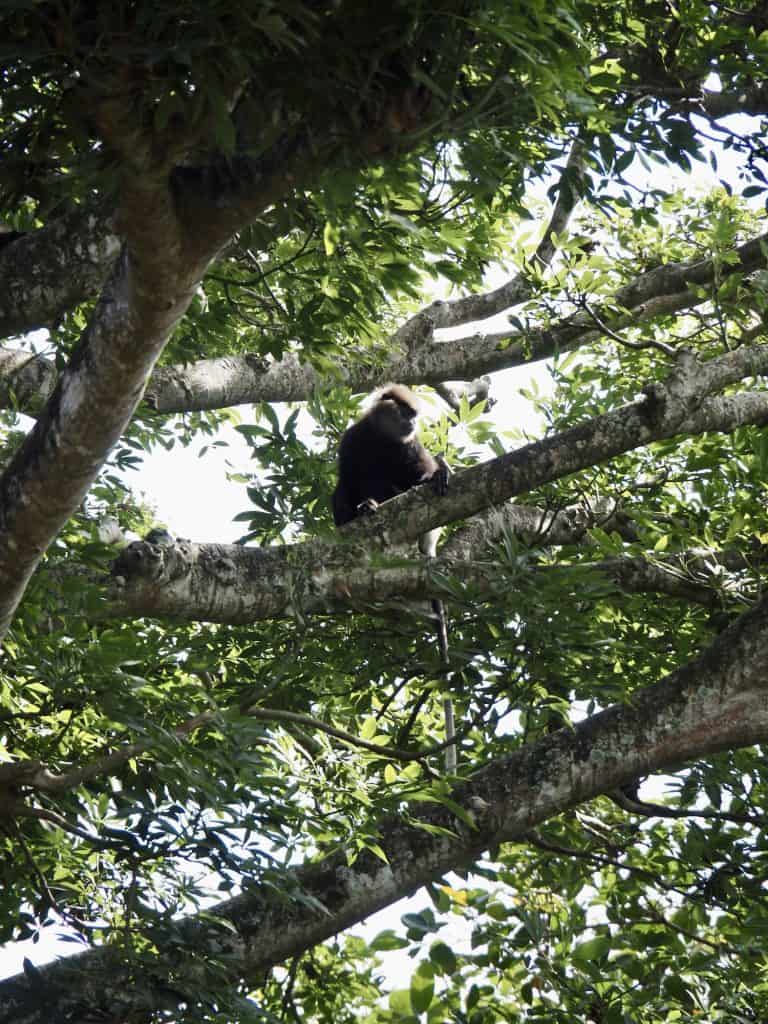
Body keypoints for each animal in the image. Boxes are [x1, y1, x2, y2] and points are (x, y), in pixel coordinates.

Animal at [332, 384, 457, 772]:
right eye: (406, 413)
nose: (414, 422)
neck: (381, 438)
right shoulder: (353, 440)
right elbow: (348, 478)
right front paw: (360, 506)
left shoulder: (409, 447)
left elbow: (422, 471)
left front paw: (438, 473)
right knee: (346, 488)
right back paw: (365, 509)